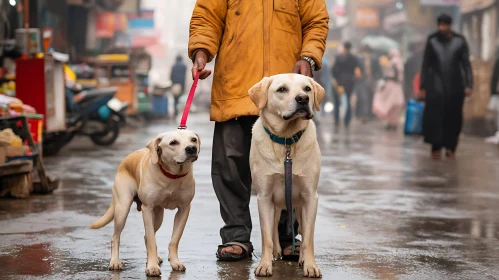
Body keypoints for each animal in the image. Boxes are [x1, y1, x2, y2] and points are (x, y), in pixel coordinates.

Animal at [89, 129, 200, 276]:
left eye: (193, 139)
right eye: (173, 142)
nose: (192, 148)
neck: (172, 175)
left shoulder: (184, 209)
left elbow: (174, 239)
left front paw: (174, 262)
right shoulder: (147, 208)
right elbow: (152, 241)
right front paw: (152, 267)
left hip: (158, 216)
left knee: (147, 235)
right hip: (122, 209)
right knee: (116, 237)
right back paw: (115, 262)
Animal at [249, 74, 324, 278]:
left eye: (307, 89)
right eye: (282, 89)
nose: (303, 99)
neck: (286, 141)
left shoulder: (310, 197)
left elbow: (308, 237)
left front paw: (310, 265)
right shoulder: (264, 197)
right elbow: (267, 236)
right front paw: (264, 265)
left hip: (298, 207)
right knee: (274, 227)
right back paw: (276, 252)